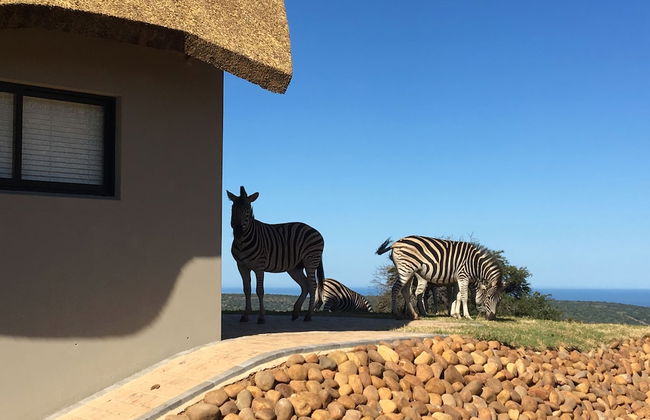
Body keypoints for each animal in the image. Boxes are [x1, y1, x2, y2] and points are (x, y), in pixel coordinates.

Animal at [228, 186, 325, 324]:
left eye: (247, 210)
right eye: (233, 208)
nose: (237, 232)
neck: (243, 242)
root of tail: (315, 230)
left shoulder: (259, 267)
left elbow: (260, 290)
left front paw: (261, 318)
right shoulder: (241, 266)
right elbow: (246, 290)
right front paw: (245, 316)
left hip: (310, 260)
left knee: (312, 285)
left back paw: (308, 316)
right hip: (295, 267)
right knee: (305, 285)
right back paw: (296, 313)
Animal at [376, 236, 504, 320]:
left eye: (499, 300)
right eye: (488, 297)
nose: (492, 317)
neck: (474, 264)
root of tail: (396, 243)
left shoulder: (457, 279)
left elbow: (457, 296)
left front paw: (456, 315)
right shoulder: (463, 276)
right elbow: (463, 296)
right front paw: (466, 316)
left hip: (409, 272)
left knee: (405, 291)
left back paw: (414, 315)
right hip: (405, 270)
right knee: (395, 289)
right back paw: (396, 313)